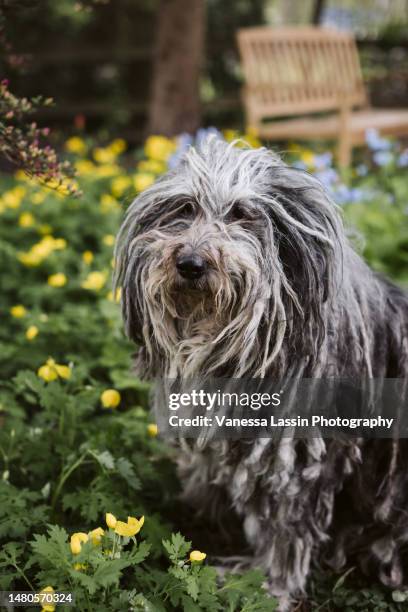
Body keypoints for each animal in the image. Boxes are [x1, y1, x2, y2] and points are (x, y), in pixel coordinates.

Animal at [115, 136, 408, 608]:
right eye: (185, 208)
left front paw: (268, 587)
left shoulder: (295, 465)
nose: (190, 263)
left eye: (241, 213)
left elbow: (285, 534)